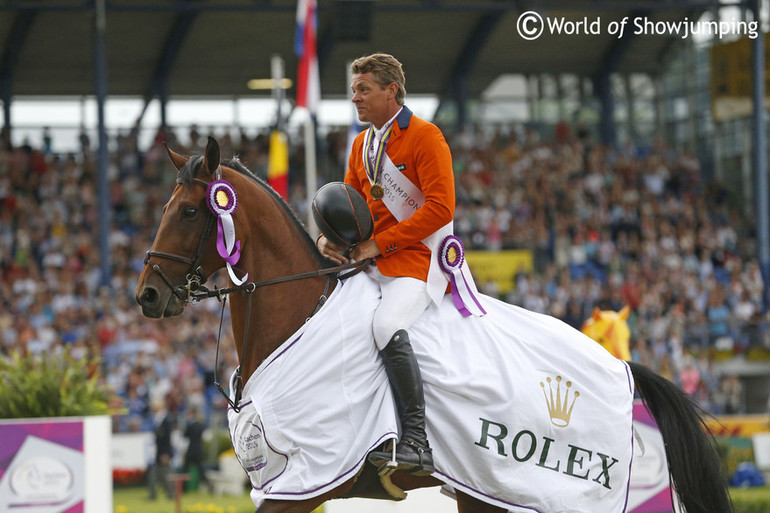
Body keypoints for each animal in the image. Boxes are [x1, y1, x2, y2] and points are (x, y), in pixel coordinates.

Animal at [136, 137, 732, 512]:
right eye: (162, 206)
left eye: (189, 211)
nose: (147, 295)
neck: (297, 313)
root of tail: (621, 366)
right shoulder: (285, 481)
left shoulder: (308, 478)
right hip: (490, 491)